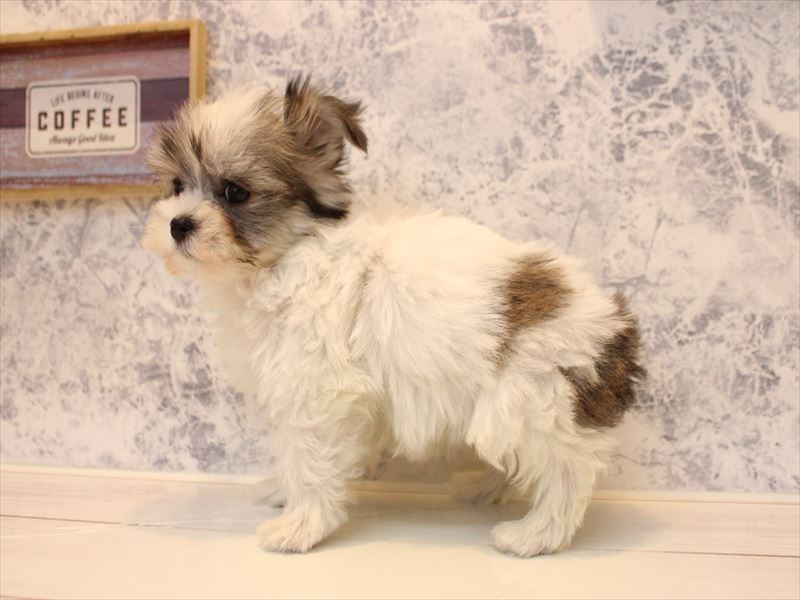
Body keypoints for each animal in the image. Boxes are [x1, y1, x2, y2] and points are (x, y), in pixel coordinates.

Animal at [142, 76, 644, 557]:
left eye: (235, 192)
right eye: (176, 187)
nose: (178, 223)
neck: (285, 260)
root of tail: (612, 324)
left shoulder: (318, 392)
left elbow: (310, 458)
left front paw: (301, 525)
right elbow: (291, 450)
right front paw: (283, 493)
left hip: (534, 395)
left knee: (569, 472)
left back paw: (536, 536)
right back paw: (484, 489)